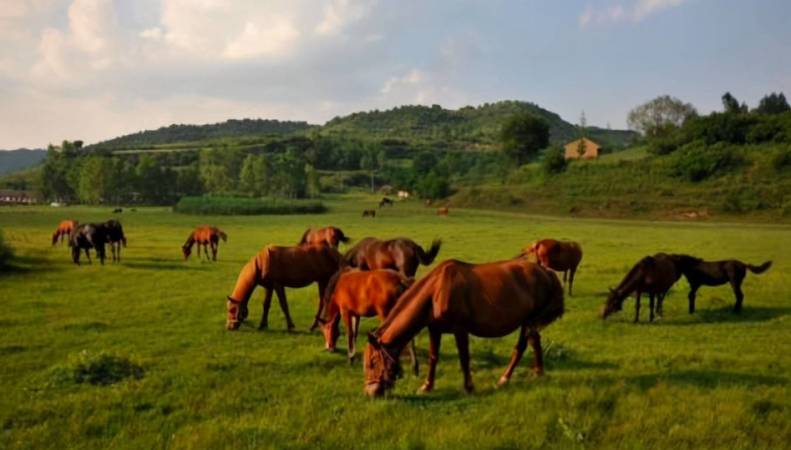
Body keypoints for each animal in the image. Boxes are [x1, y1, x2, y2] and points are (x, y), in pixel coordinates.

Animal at [362, 258, 568, 396]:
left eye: (372, 362)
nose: (371, 392)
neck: (436, 291)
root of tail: (545, 271)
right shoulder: (434, 329)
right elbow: (433, 357)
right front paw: (427, 386)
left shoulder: (460, 330)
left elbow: (464, 358)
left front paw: (468, 387)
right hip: (529, 322)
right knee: (533, 342)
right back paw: (537, 373)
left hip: (529, 321)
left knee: (523, 346)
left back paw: (506, 378)